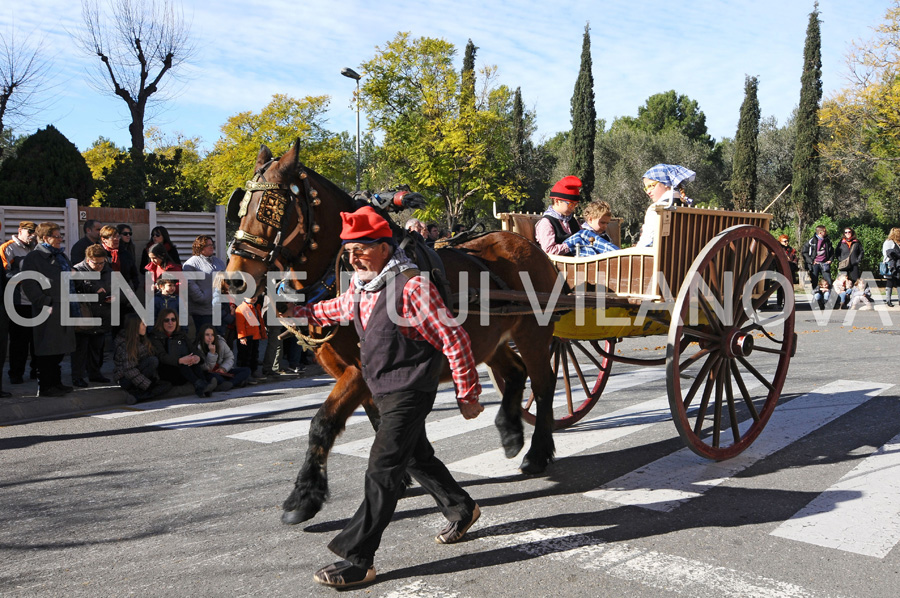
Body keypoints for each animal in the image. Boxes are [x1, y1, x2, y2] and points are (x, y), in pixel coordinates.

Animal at [224, 141, 560, 524]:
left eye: (272, 207)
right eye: (242, 206)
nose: (234, 279)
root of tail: (524, 243)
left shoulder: (360, 370)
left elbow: (323, 423)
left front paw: (304, 496)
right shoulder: (353, 372)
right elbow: (377, 420)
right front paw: (403, 479)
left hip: (533, 335)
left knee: (544, 384)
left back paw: (537, 452)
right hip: (489, 338)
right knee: (515, 373)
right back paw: (510, 433)